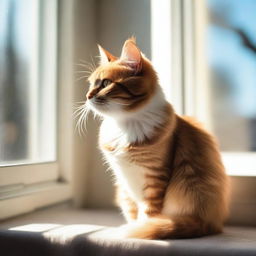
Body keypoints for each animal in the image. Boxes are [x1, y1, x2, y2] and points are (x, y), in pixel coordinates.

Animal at [83, 38, 230, 240]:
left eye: (105, 83)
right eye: (90, 85)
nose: (87, 96)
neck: (125, 124)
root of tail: (211, 224)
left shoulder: (155, 178)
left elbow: (148, 214)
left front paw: (142, 229)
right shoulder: (125, 182)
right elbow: (133, 212)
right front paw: (134, 227)